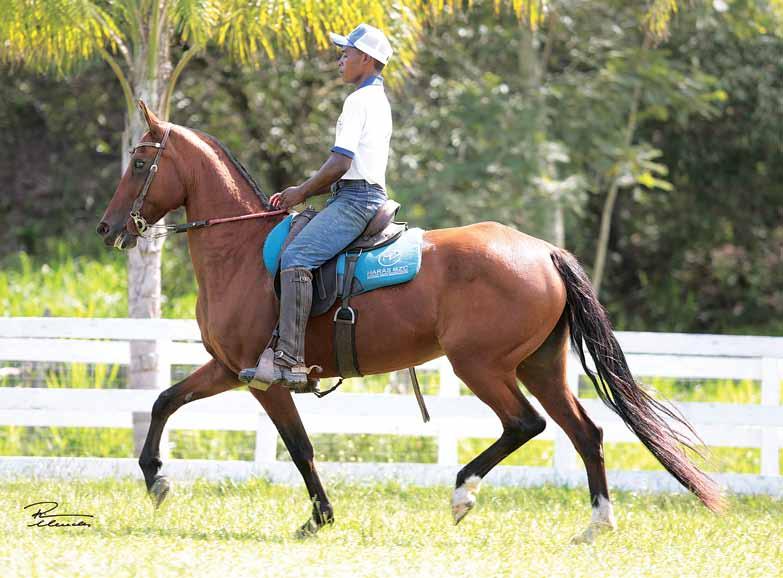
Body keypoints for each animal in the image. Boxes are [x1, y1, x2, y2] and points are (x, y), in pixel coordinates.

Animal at [96, 102, 724, 540]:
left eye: (141, 161)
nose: (108, 228)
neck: (242, 250)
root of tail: (544, 251)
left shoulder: (264, 380)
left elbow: (299, 448)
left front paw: (319, 518)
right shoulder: (229, 368)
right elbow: (164, 401)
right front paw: (155, 477)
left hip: (481, 366)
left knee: (526, 424)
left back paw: (463, 493)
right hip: (540, 366)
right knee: (585, 433)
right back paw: (595, 525)